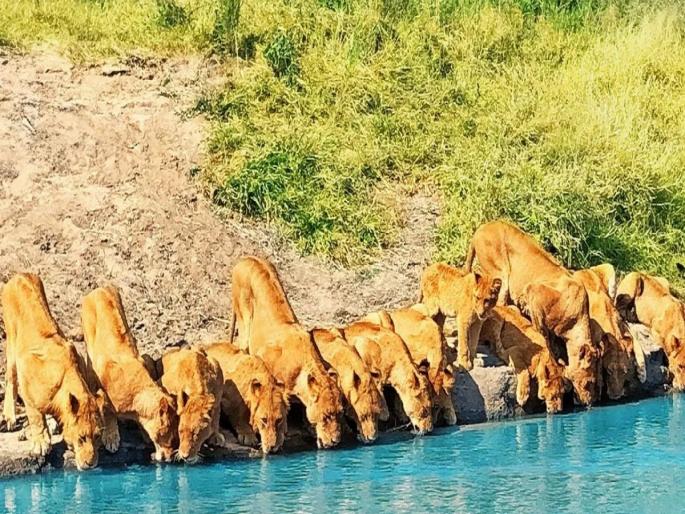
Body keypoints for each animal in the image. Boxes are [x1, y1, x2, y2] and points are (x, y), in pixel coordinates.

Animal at [1, 273, 104, 470]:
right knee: (10, 377)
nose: (91, 464)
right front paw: (41, 443)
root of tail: (19, 275)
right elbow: (35, 415)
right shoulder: (27, 369)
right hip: (11, 340)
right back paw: (10, 418)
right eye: (81, 438)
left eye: (97, 437)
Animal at [81, 286, 178, 462]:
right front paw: (111, 438)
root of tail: (98, 288)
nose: (169, 457)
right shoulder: (104, 388)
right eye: (167, 435)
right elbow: (108, 412)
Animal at [464, 220, 601, 406]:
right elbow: (544, 338)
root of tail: (483, 227)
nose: (589, 402)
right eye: (589, 382)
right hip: (501, 275)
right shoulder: (534, 294)